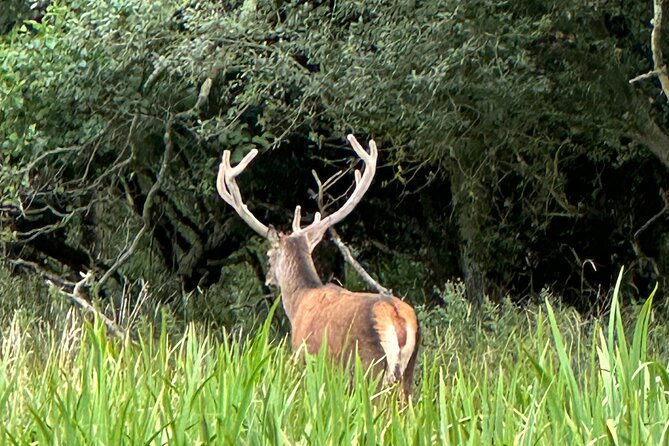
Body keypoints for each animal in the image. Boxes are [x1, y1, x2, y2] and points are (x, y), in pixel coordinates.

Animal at [217, 133, 420, 398]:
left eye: (269, 255)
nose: (269, 279)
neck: (299, 301)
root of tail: (396, 316)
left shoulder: (302, 356)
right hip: (408, 373)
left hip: (369, 367)